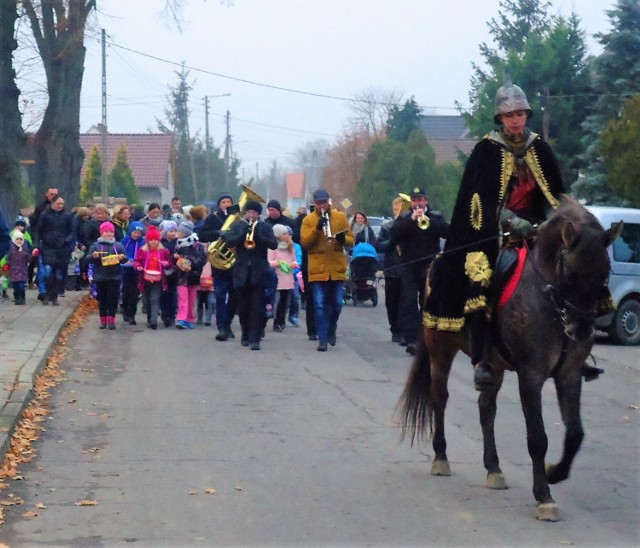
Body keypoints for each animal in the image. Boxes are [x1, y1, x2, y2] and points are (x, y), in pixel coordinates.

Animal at [398, 195, 624, 520]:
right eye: (570, 273)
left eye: (605, 274)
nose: (580, 330)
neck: (549, 300)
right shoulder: (531, 375)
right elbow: (538, 437)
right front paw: (544, 496)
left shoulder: (569, 374)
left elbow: (575, 433)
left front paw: (555, 472)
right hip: (441, 348)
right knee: (439, 397)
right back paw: (440, 457)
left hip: (495, 364)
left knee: (486, 408)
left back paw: (493, 468)